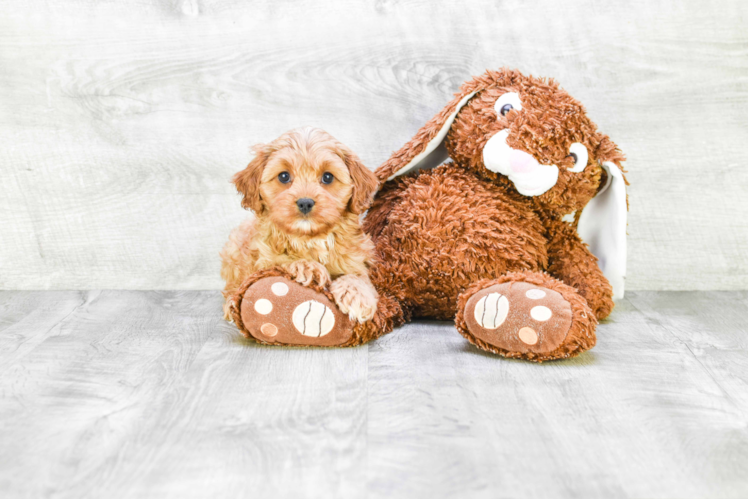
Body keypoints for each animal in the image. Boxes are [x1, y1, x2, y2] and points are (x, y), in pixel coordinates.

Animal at [219, 127, 376, 324]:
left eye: (328, 177)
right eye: (284, 176)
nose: (305, 202)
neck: (310, 238)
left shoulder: (355, 258)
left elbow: (358, 275)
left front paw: (356, 295)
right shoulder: (264, 259)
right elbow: (282, 261)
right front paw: (308, 267)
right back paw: (232, 304)